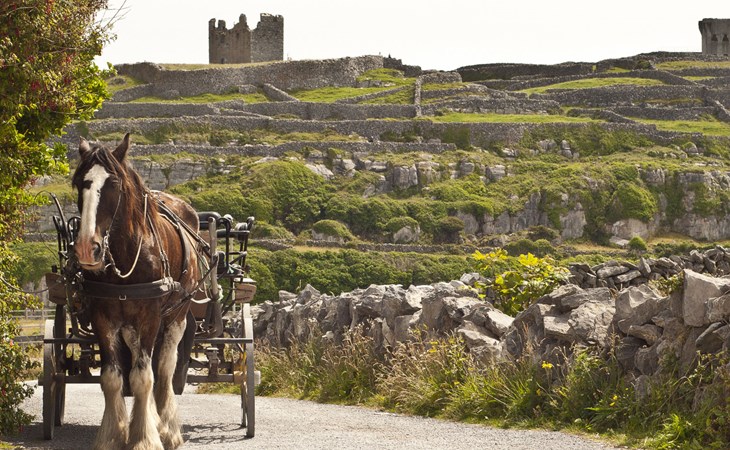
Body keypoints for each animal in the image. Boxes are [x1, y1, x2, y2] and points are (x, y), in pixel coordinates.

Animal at [72, 134, 201, 450]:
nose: (86, 248)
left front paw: (144, 439)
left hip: (176, 315)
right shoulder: (102, 316)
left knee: (164, 368)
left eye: (114, 184)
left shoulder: (150, 316)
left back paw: (167, 428)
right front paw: (113, 435)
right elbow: (112, 378)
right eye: (79, 182)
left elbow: (144, 377)